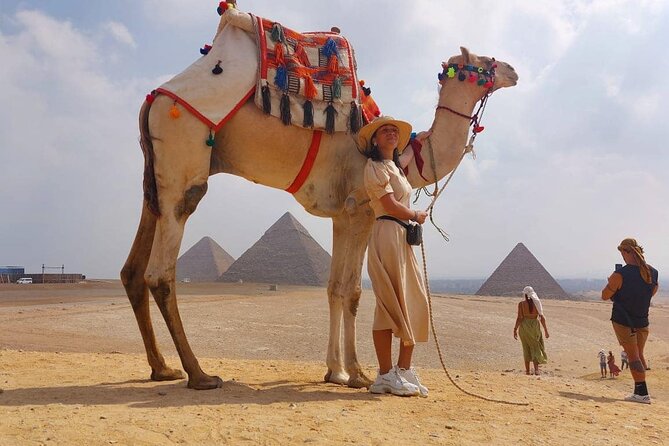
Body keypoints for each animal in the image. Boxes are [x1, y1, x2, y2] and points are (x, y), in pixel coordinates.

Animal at [120, 8, 518, 390]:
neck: (402, 154)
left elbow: (333, 289)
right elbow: (353, 291)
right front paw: (356, 373)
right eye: (484, 61)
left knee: (134, 269)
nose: (512, 70)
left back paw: (163, 368)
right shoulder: (362, 210)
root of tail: (154, 100)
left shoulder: (342, 215)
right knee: (161, 270)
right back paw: (199, 374)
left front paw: (335, 371)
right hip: (183, 158)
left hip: (155, 180)